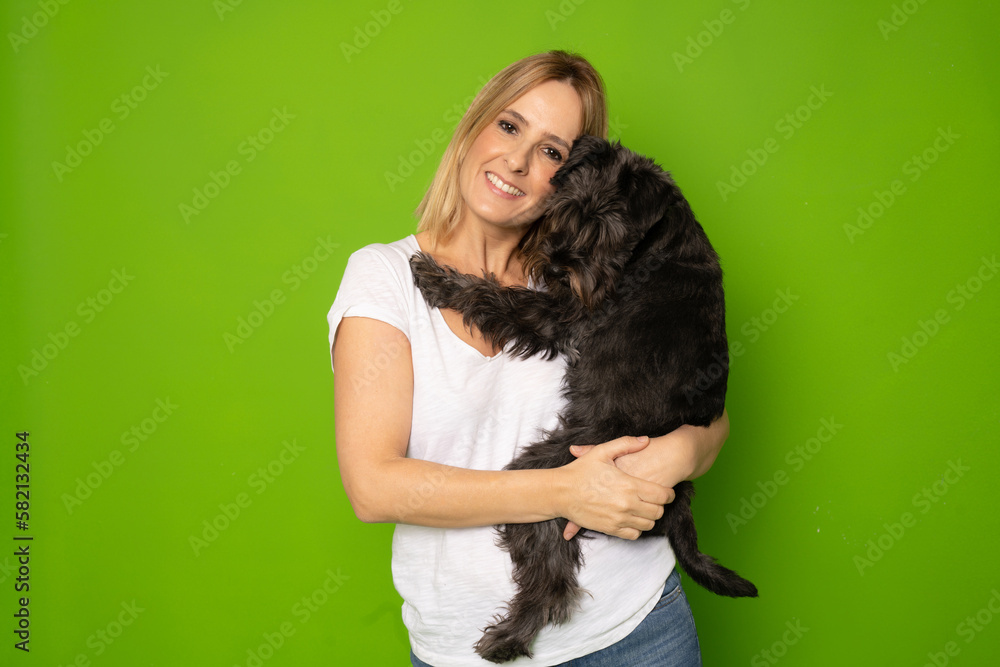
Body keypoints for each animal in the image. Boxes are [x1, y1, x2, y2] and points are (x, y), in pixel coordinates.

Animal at [410, 134, 752, 664]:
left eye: (607, 230)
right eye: (567, 208)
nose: (555, 265)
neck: (653, 246)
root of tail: (679, 499)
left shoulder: (566, 311)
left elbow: (502, 297)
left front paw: (436, 277)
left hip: (548, 480)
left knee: (552, 583)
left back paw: (507, 639)